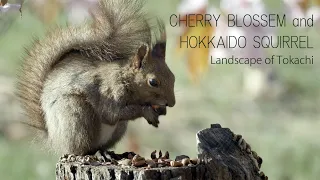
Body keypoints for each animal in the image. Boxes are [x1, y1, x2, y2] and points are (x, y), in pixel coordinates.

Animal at [16, 0, 176, 155]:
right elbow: (112, 113)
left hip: (118, 129)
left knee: (102, 145)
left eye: (173, 77)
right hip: (77, 115)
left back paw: (108, 153)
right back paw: (94, 154)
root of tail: (55, 140)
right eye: (153, 82)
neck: (125, 79)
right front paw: (147, 112)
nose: (172, 103)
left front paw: (161, 110)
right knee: (81, 150)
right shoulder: (108, 91)